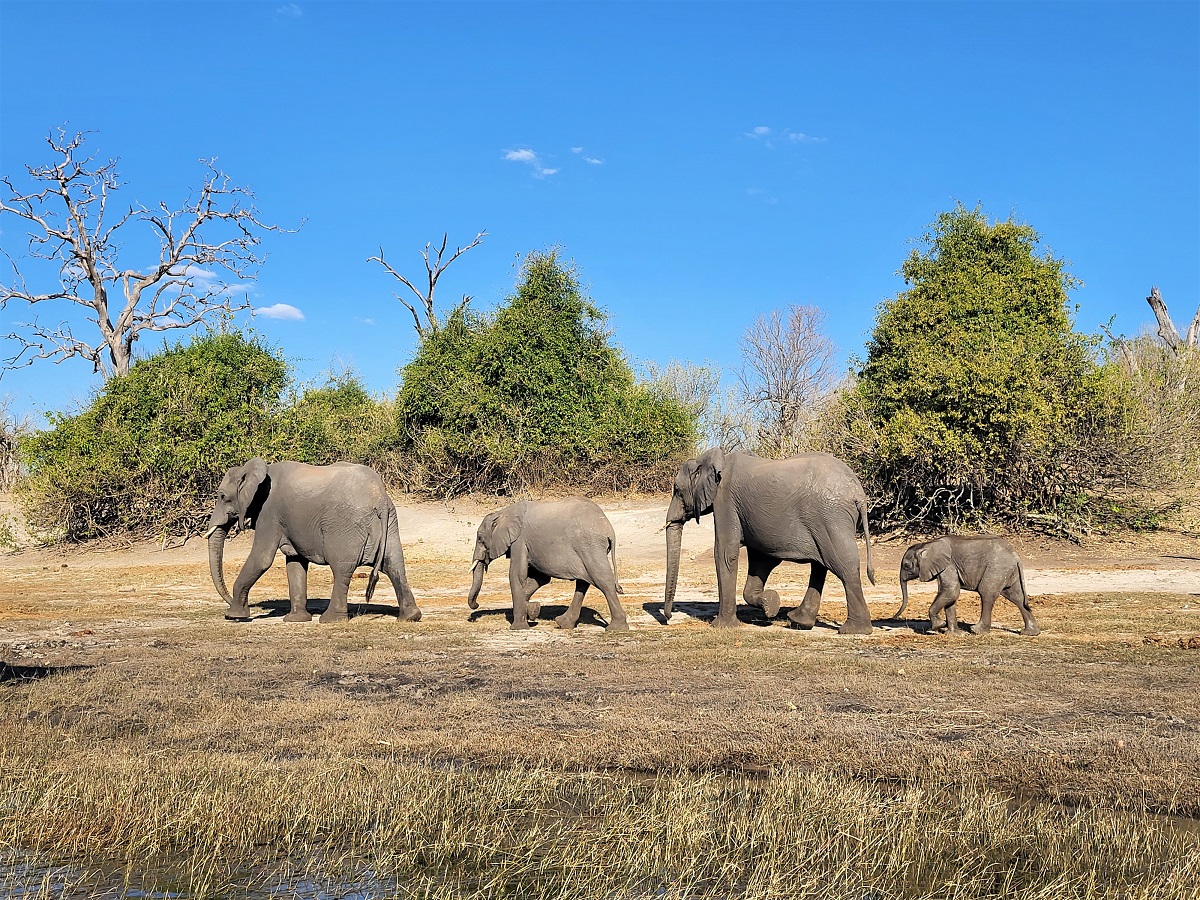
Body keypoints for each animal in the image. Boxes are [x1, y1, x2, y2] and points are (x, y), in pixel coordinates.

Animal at [205, 459, 422, 624]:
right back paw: (410, 617)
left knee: (341, 570)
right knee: (395, 565)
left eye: (222, 496)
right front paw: (295, 620)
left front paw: (234, 616)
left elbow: (262, 559)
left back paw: (330, 620)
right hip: (391, 524)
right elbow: (294, 562)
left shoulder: (269, 512)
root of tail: (380, 500)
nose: (229, 601)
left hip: (344, 527)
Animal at [466, 498, 628, 632]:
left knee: (602, 580)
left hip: (589, 546)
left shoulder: (519, 541)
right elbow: (539, 579)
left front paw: (519, 627)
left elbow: (517, 575)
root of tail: (608, 529)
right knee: (584, 582)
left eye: (480, 538)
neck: (503, 512)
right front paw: (533, 610)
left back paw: (616, 628)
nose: (476, 605)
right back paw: (563, 623)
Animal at [663, 449, 876, 634]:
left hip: (830, 517)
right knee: (821, 566)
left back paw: (853, 630)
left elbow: (725, 554)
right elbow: (761, 560)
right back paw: (799, 622)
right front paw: (771, 604)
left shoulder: (725, 501)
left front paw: (722, 626)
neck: (715, 458)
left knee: (843, 566)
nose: (668, 618)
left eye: (677, 491)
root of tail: (858, 493)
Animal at [896, 536, 1039, 636]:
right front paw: (955, 634)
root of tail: (1016, 556)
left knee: (986, 593)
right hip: (1008, 572)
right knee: (1017, 597)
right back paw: (1030, 633)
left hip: (997, 568)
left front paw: (938, 626)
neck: (928, 544)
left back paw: (976, 631)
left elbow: (951, 591)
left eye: (907, 566)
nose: (895, 617)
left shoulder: (948, 565)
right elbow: (949, 596)